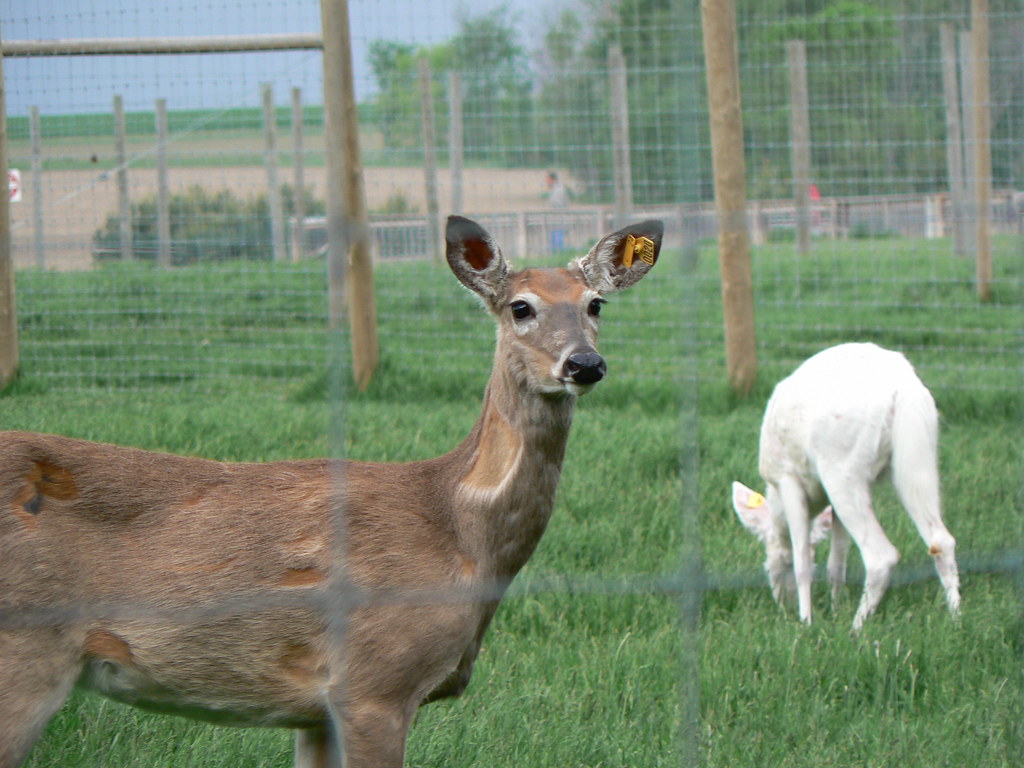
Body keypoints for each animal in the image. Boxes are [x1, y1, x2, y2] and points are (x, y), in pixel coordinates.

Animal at [0, 214, 662, 768]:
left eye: (596, 303)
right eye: (521, 307)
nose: (584, 364)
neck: (458, 533)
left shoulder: (314, 711)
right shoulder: (374, 682)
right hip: (23, 654)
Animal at [731, 342, 960, 633]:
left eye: (768, 567)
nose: (782, 604)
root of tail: (903, 387)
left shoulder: (788, 478)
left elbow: (803, 562)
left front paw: (806, 622)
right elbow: (836, 562)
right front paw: (835, 608)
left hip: (841, 465)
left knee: (881, 555)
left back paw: (856, 629)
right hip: (917, 456)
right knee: (941, 540)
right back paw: (956, 617)